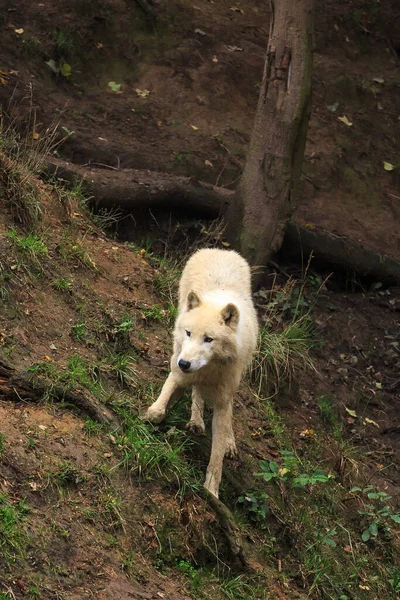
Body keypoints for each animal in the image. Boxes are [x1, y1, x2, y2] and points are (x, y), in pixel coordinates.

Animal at [145, 247, 258, 496]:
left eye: (209, 339)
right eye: (189, 333)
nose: (185, 364)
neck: (209, 368)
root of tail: (221, 250)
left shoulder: (223, 398)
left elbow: (217, 454)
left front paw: (211, 490)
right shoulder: (177, 366)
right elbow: (162, 401)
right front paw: (150, 416)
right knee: (196, 391)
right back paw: (196, 422)